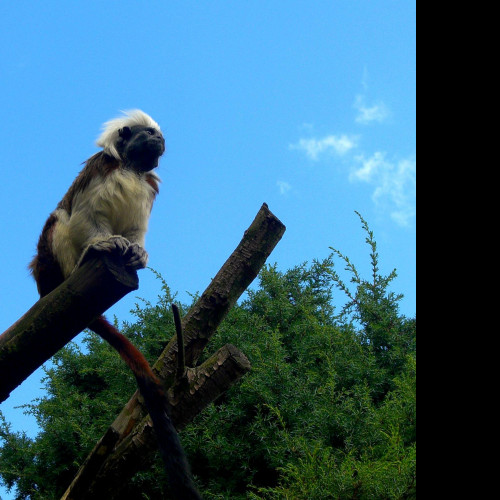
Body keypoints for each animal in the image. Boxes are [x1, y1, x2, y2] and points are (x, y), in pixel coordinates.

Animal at [29, 110, 203, 500]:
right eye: (149, 134)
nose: (160, 141)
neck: (131, 169)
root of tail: (44, 288)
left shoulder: (145, 191)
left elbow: (136, 231)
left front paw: (138, 253)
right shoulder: (100, 174)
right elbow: (85, 217)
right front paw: (102, 243)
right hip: (51, 268)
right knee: (59, 219)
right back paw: (84, 260)